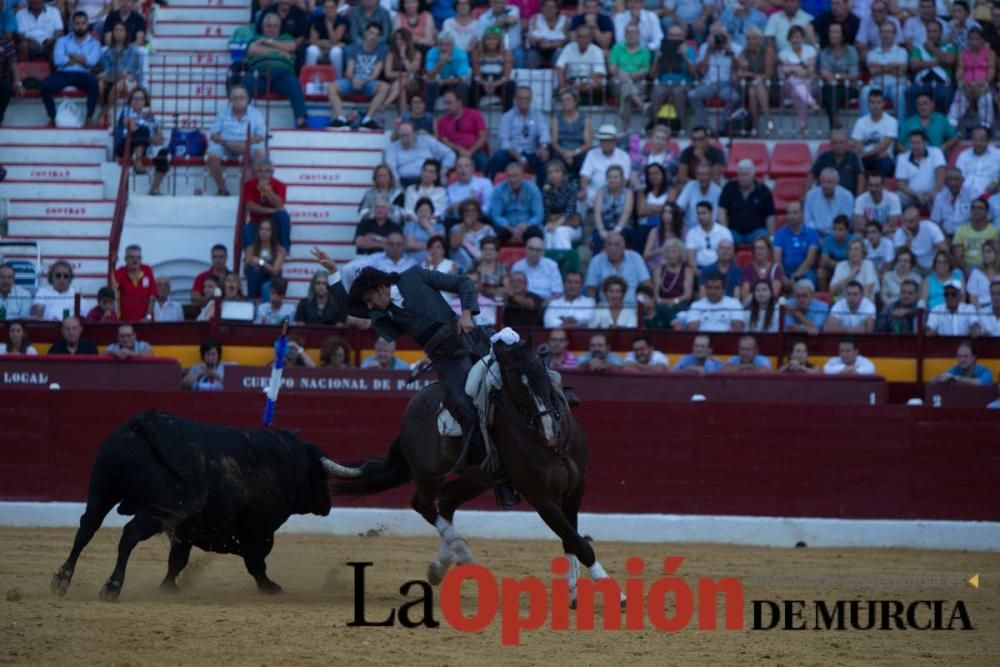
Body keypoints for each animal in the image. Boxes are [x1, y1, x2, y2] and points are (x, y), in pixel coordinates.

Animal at [50, 410, 358, 604]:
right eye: (320, 476)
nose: (328, 505)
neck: (287, 463)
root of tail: (146, 422)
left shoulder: (184, 530)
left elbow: (177, 560)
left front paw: (168, 587)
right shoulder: (259, 532)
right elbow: (257, 563)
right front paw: (270, 588)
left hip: (102, 490)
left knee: (86, 528)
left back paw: (62, 580)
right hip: (153, 512)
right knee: (128, 535)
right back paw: (112, 587)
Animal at [328, 340, 612, 600]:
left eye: (542, 376)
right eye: (516, 385)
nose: (550, 431)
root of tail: (412, 406)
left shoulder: (576, 487)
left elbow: (570, 537)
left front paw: (574, 592)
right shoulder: (540, 497)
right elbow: (577, 540)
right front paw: (613, 592)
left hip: (477, 478)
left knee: (445, 502)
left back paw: (442, 565)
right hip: (428, 473)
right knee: (424, 504)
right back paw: (461, 553)